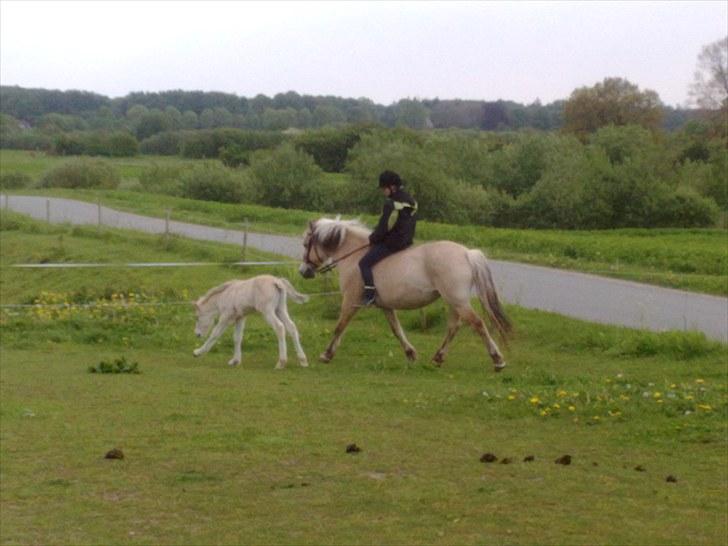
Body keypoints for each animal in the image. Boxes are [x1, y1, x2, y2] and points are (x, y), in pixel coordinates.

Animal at [298, 217, 512, 370]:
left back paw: (498, 360)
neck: (354, 255)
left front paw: (326, 354)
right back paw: (438, 358)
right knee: (454, 326)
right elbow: (396, 330)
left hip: (457, 300)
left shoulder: (350, 300)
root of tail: (467, 253)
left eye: (306, 243)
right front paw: (410, 353)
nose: (303, 272)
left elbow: (339, 326)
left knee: (477, 323)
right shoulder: (385, 306)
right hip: (454, 301)